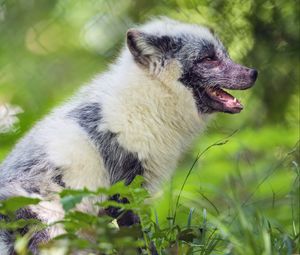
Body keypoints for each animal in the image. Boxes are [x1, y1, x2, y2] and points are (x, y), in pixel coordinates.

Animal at [0, 16, 258, 254]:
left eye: (224, 54)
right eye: (208, 59)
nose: (254, 72)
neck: (147, 101)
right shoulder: (122, 192)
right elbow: (139, 240)